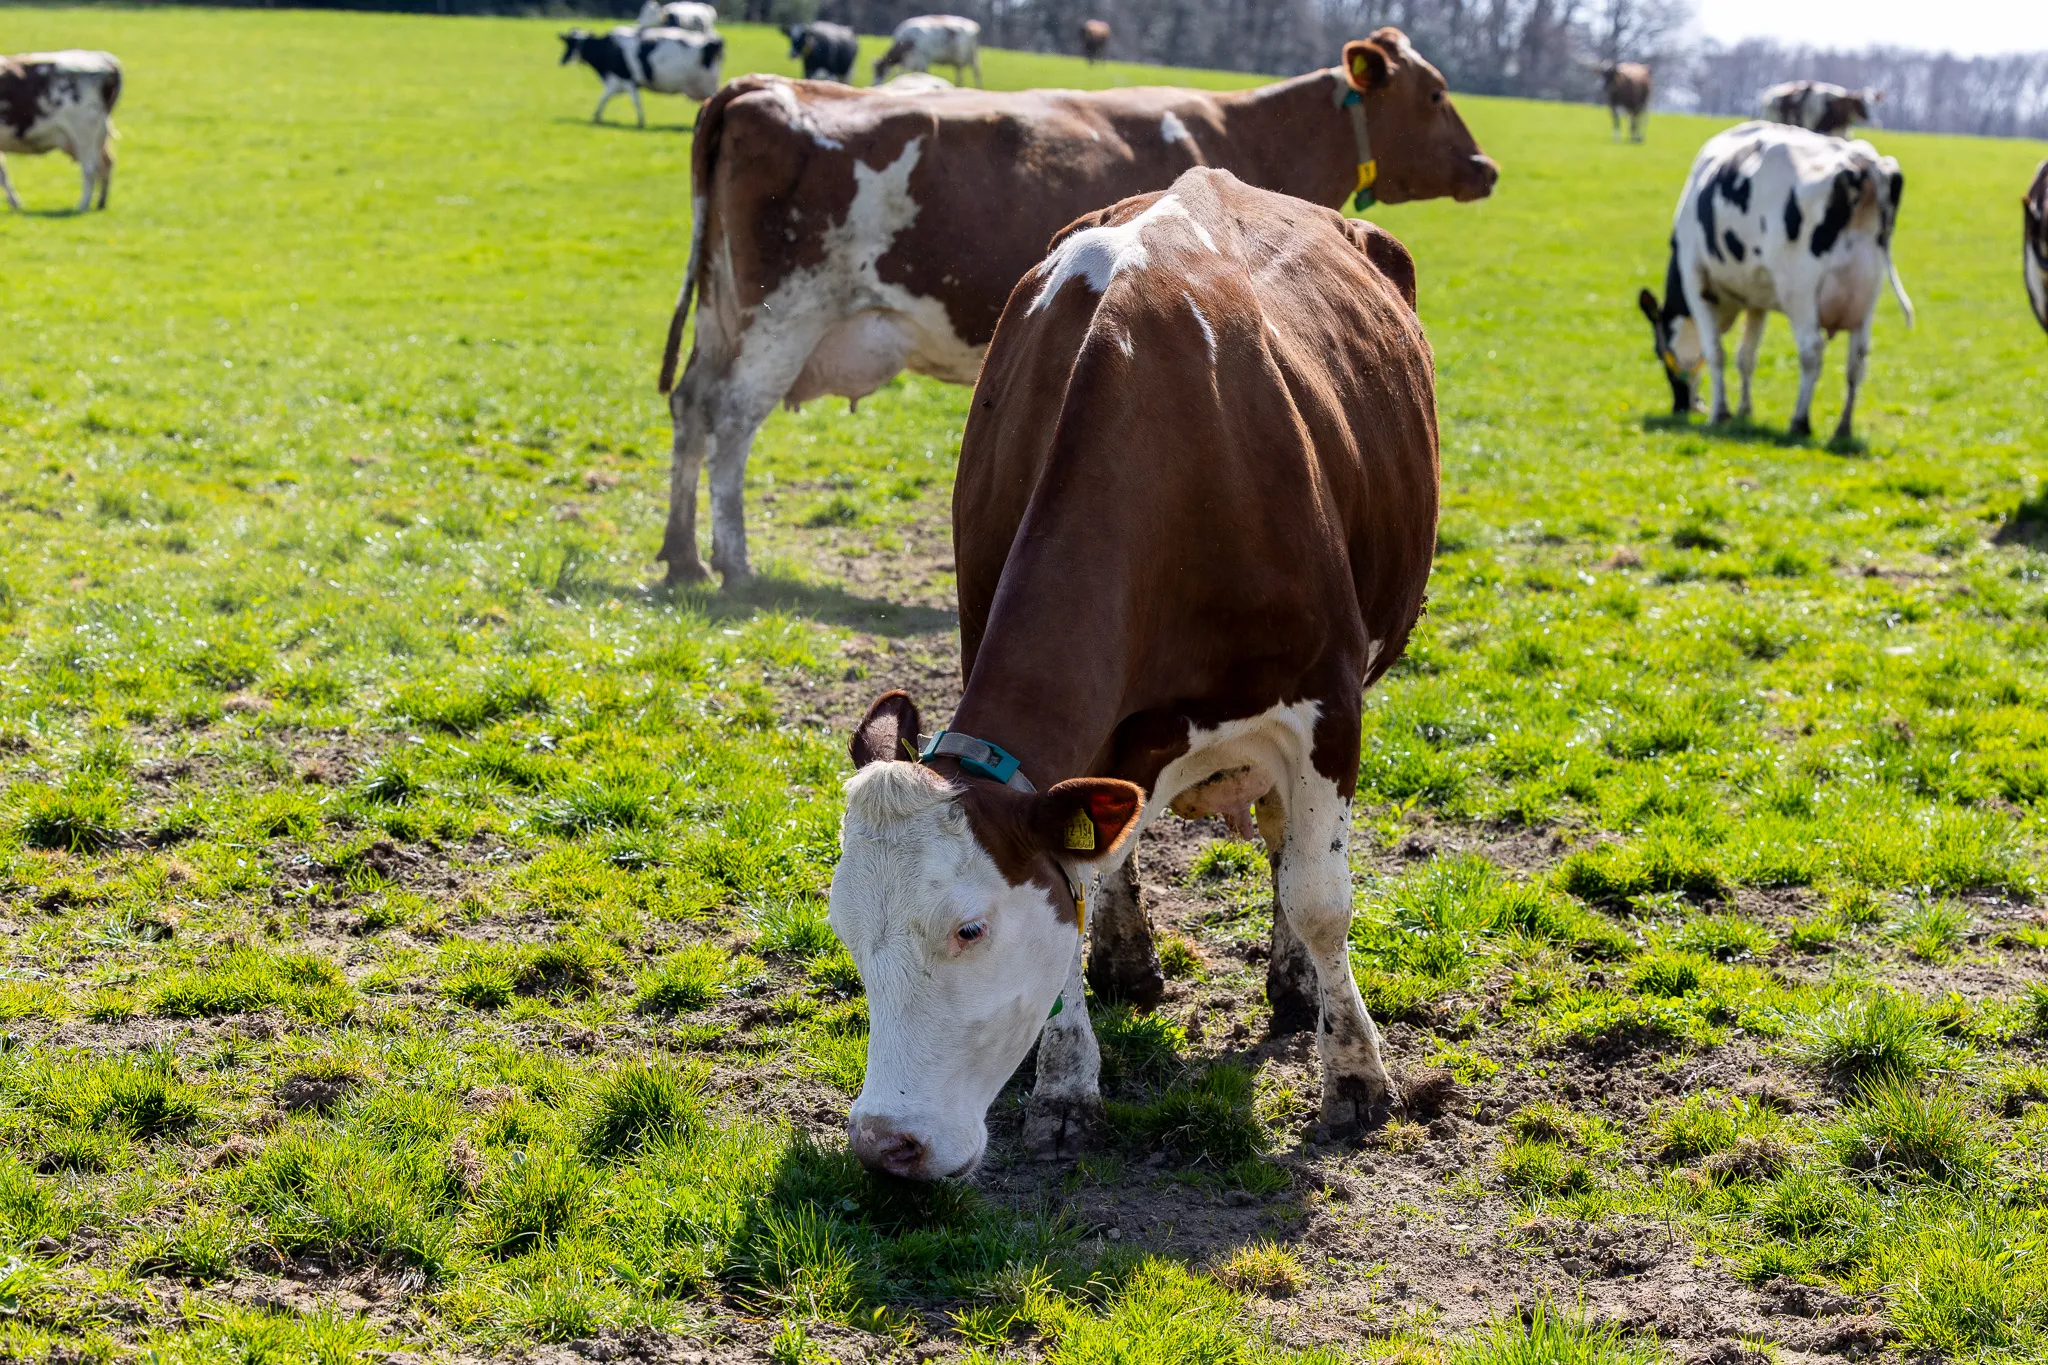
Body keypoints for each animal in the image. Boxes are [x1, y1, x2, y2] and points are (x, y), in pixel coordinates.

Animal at [0, 50, 120, 214]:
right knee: (106, 163)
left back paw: (82, 206)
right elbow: (3, 173)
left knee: (90, 169)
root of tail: (102, 57)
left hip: (84, 133)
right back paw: (100, 203)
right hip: (96, 137)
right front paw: (15, 204)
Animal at [558, 27, 723, 126]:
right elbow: (605, 98)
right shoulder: (618, 82)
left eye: (570, 43)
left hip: (707, 84)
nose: (561, 60)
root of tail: (712, 41)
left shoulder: (625, 80)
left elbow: (624, 100)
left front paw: (640, 122)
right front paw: (597, 117)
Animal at [654, 27, 1496, 586]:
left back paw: (682, 554)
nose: (1487, 167)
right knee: (731, 418)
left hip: (723, 313)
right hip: (784, 312)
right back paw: (734, 564)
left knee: (691, 405)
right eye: (1436, 94)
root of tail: (764, 85)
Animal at [828, 165, 1438, 1180]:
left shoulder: (1328, 703)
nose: (884, 1142)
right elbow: (1077, 885)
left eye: (969, 926)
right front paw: (1067, 1086)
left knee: (1291, 848)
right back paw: (1132, 959)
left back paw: (1292, 983)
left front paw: (1354, 1074)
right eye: (844, 928)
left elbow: (1322, 897)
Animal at [1636, 122, 1911, 444]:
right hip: (1867, 292)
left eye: (1659, 352)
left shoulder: (1696, 281)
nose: (1681, 406)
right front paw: (1744, 411)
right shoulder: (1757, 298)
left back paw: (1800, 421)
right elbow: (1746, 357)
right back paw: (1842, 429)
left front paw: (1720, 413)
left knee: (1811, 350)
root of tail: (1861, 160)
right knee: (1857, 360)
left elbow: (1715, 353)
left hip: (1800, 288)